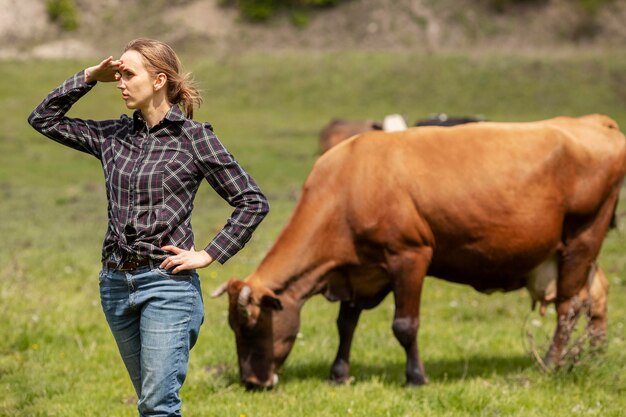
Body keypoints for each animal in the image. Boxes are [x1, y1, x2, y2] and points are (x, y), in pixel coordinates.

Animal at [214, 114, 624, 386]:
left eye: (250, 326)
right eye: (232, 327)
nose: (252, 382)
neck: (348, 185)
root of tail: (593, 121)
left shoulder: (409, 256)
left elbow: (404, 325)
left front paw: (415, 377)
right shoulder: (358, 270)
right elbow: (345, 324)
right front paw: (338, 373)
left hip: (583, 237)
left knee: (569, 306)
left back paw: (551, 364)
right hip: (571, 251)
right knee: (596, 294)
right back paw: (593, 352)